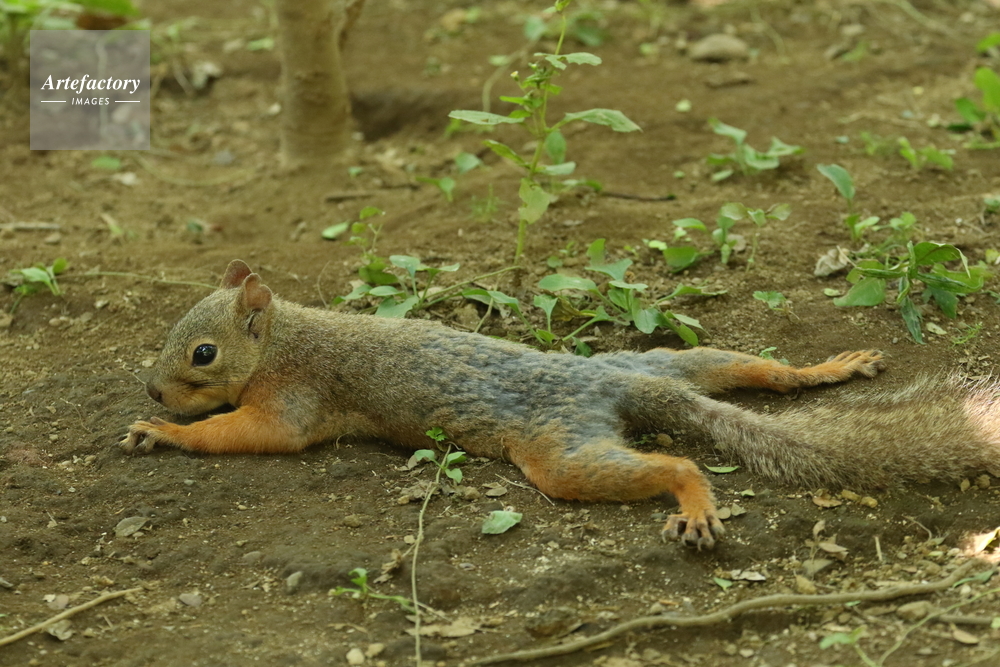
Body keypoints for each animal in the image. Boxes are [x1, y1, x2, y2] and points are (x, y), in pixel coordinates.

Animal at [121, 260, 1000, 549]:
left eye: (202, 354)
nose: (154, 386)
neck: (285, 338)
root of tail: (624, 385)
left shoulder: (295, 399)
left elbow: (249, 433)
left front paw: (160, 427)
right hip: (677, 359)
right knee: (761, 371)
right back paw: (828, 367)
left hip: (561, 455)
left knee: (672, 460)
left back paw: (693, 500)